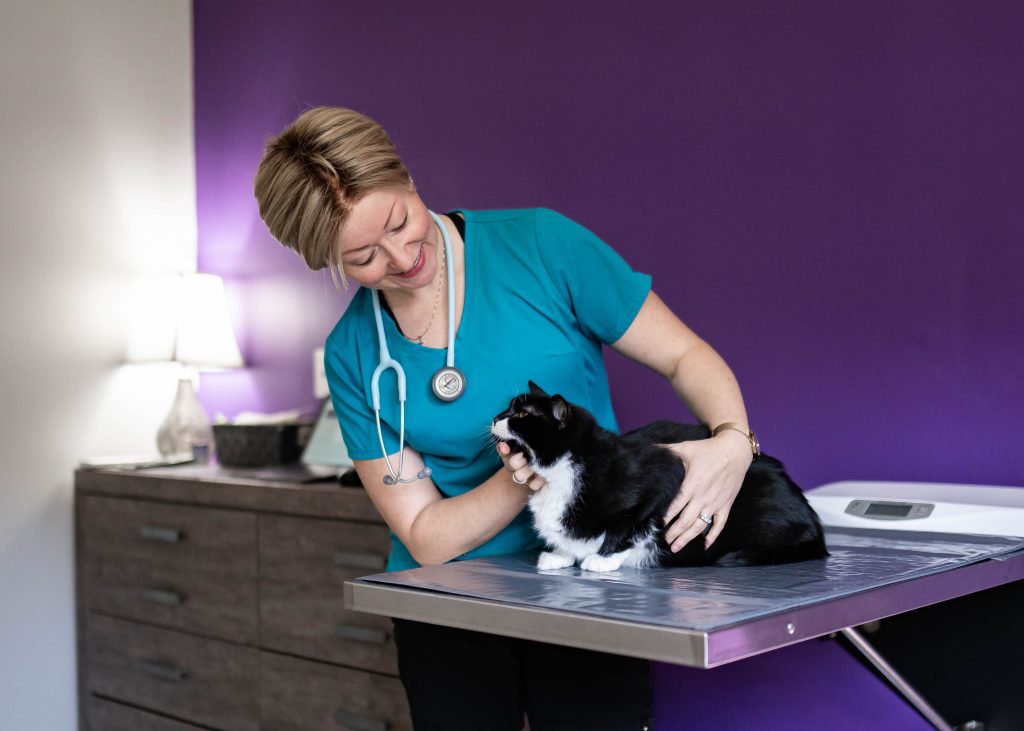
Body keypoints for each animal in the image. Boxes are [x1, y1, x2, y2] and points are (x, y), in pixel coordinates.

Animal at [491, 378, 827, 573]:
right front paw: (560, 555)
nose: (495, 417)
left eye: (522, 415)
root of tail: (816, 530)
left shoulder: (664, 477)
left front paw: (603, 558)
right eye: (508, 409)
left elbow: (632, 526)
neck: (562, 472)